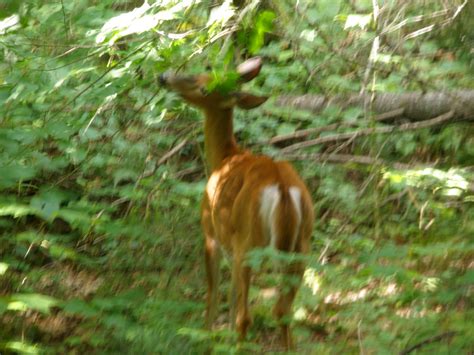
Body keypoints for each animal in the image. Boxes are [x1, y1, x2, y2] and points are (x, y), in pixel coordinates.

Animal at [160, 57, 314, 350]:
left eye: (204, 88)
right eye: (204, 70)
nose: (164, 77)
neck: (224, 157)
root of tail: (283, 189)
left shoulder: (211, 232)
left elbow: (213, 292)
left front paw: (206, 338)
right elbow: (230, 295)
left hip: (249, 242)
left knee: (248, 316)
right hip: (301, 245)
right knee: (283, 311)